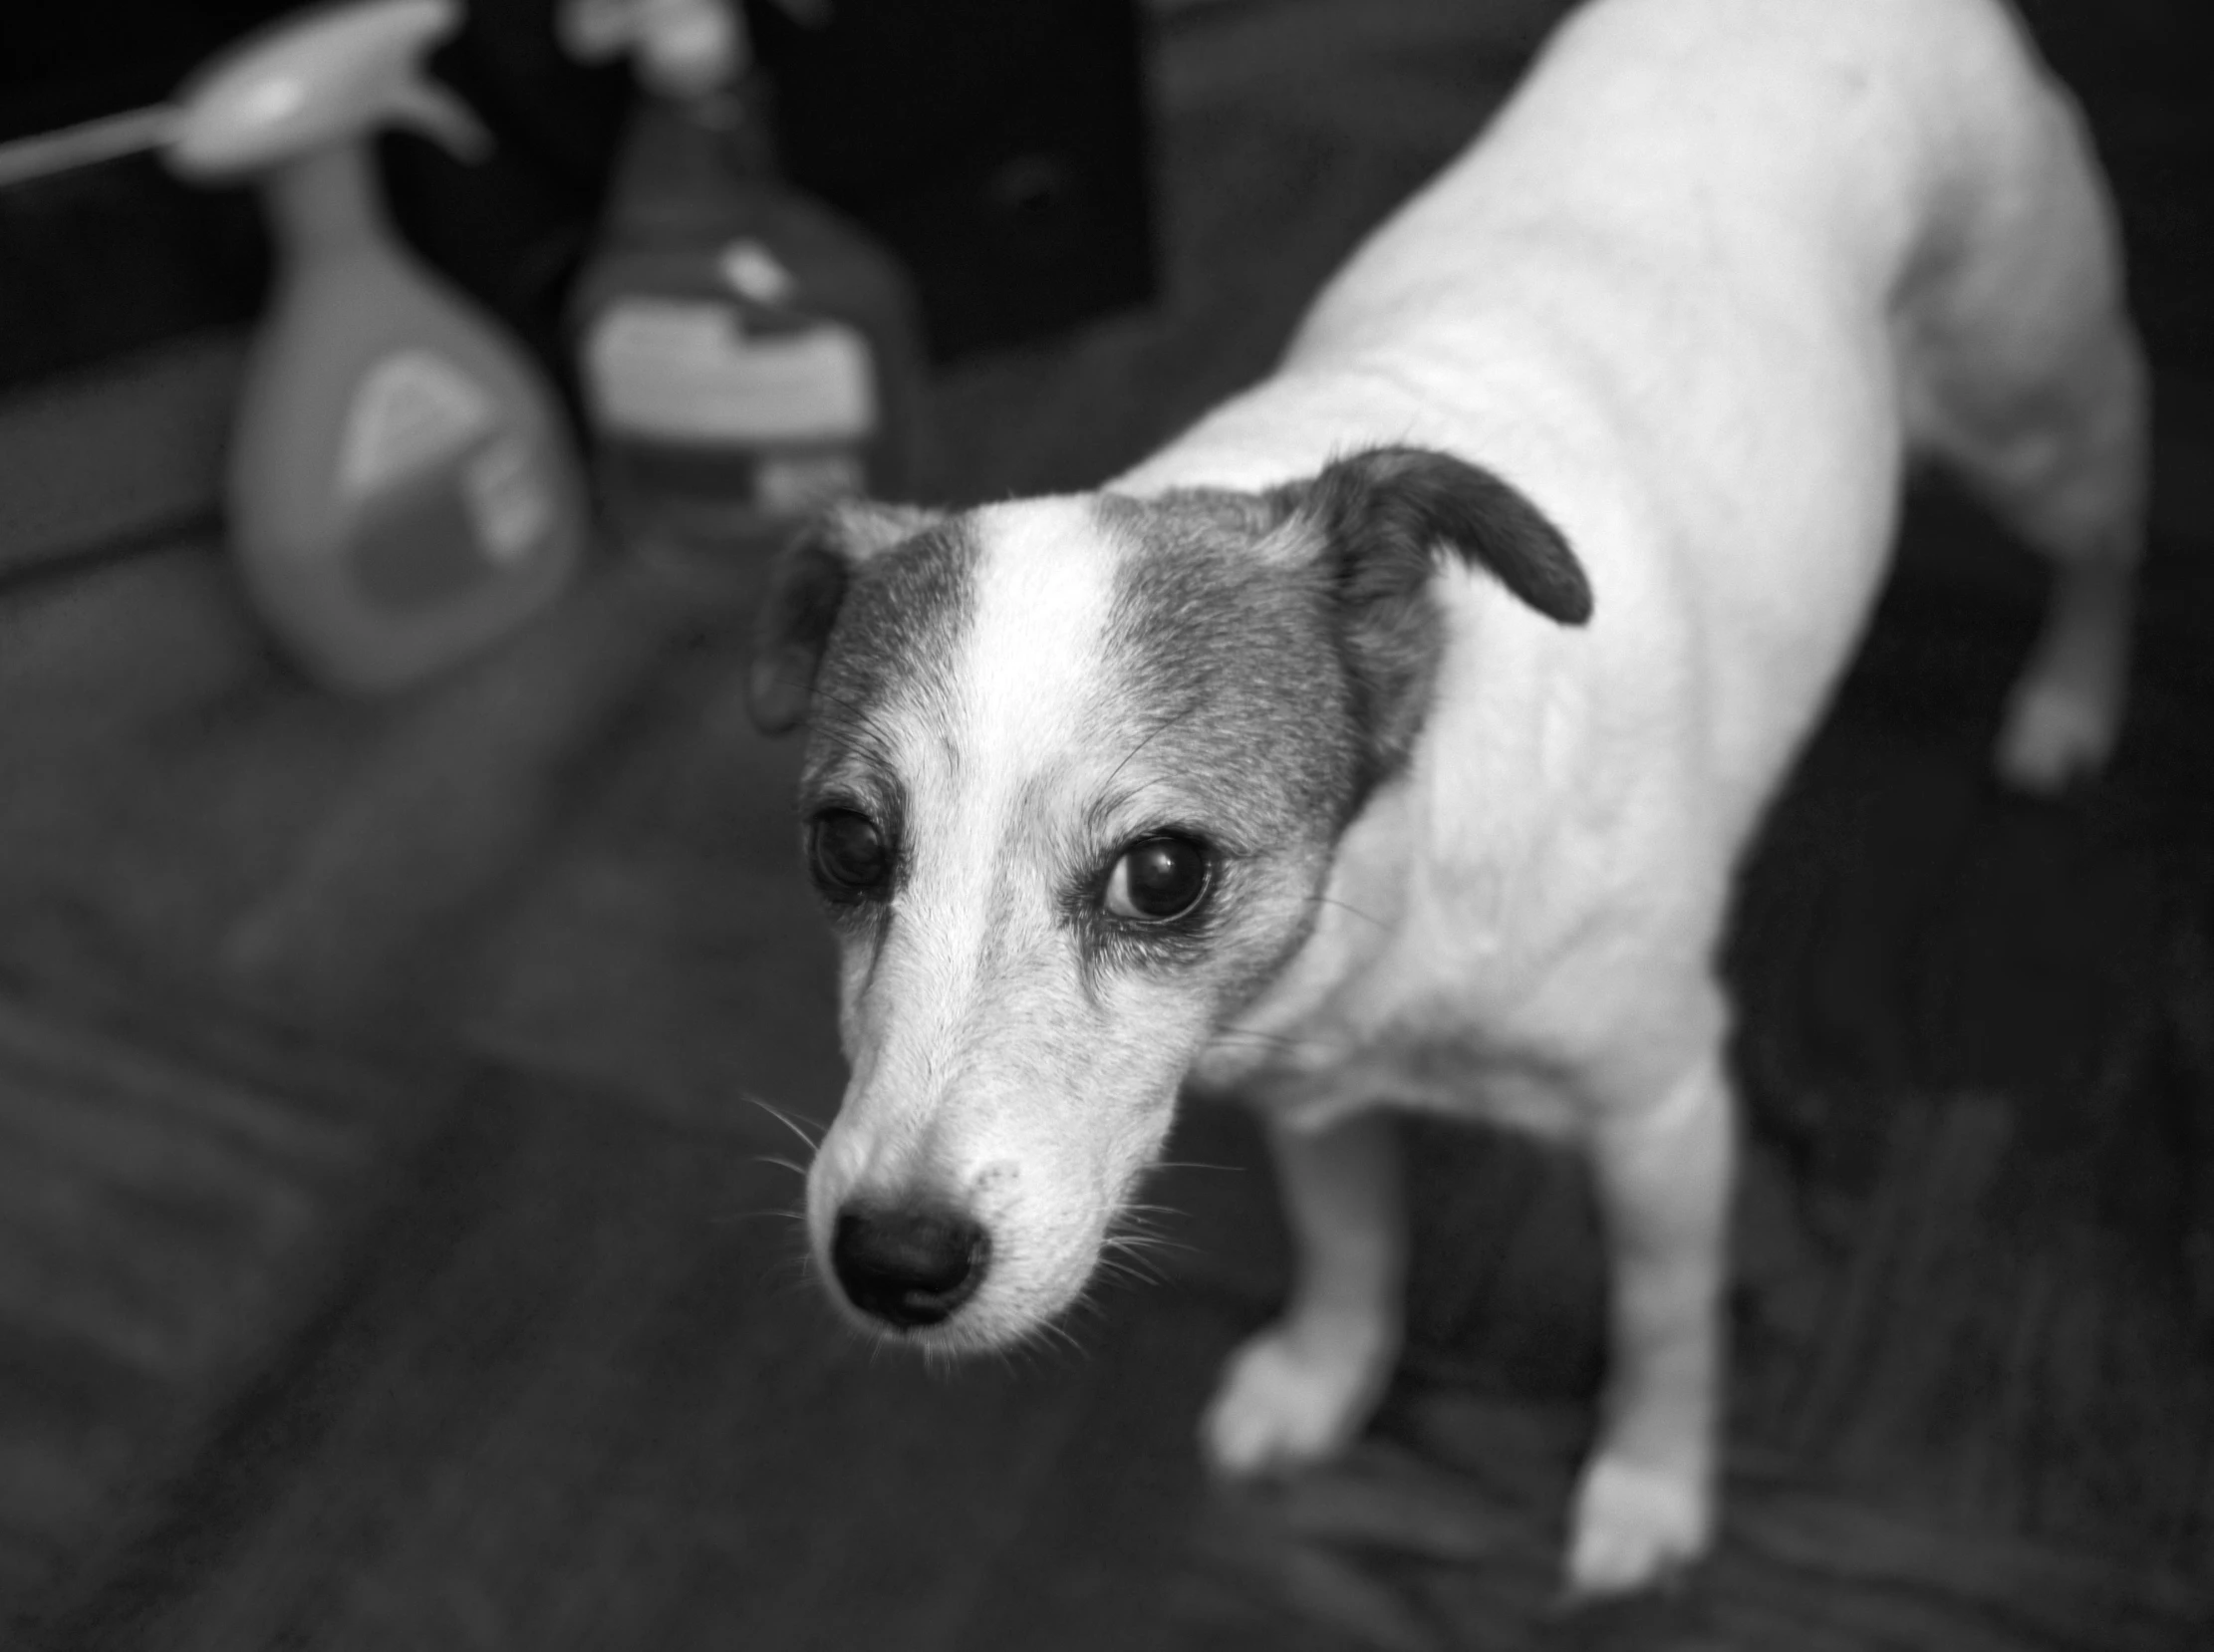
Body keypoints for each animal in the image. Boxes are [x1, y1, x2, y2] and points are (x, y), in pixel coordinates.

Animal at [743, 0, 2142, 1594]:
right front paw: (1321, 1382)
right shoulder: (1310, 1094)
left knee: (2109, 526)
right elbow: (1354, 1255)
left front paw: (1647, 1491)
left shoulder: (1662, 1114)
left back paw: (2070, 700)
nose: (890, 1263)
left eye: (1161, 873)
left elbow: (1664, 1329)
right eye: (846, 844)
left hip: (2031, 410)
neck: (1397, 911)